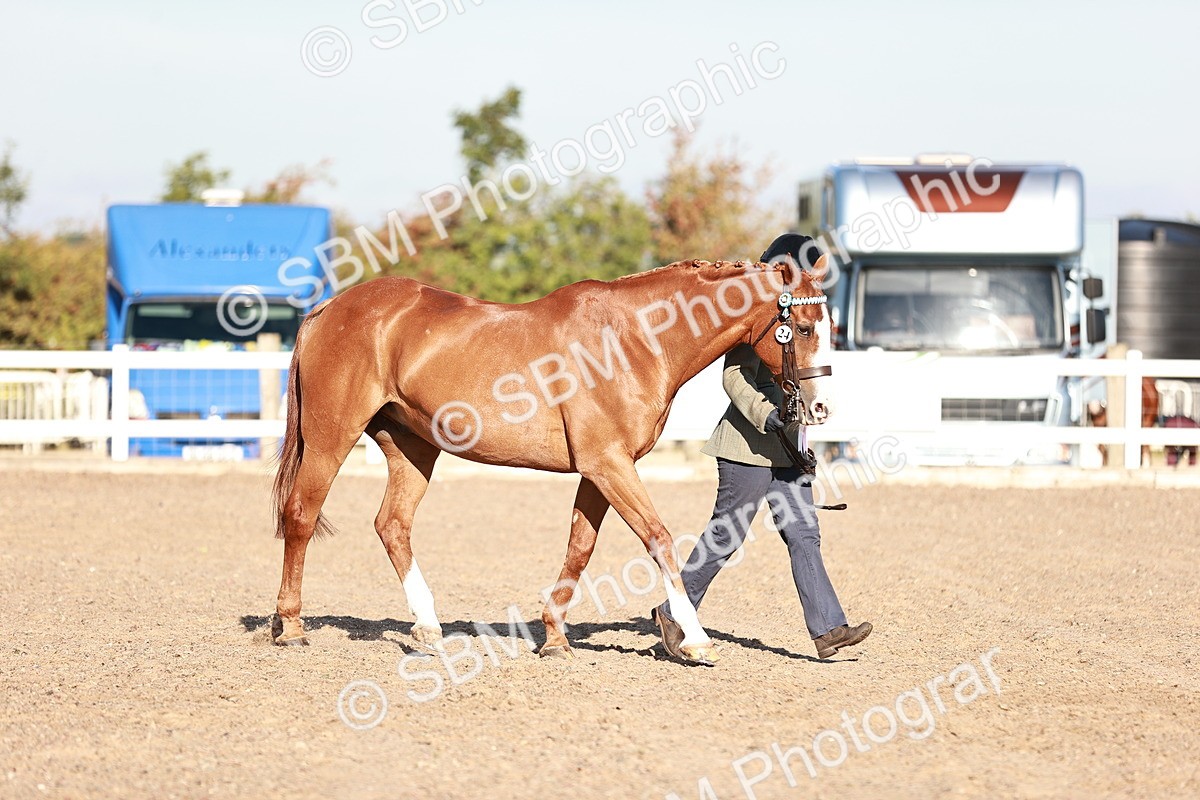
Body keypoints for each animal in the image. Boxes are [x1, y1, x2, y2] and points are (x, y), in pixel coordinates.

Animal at [270, 257, 834, 665]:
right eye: (804, 327)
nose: (820, 409)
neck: (633, 339)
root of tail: (329, 308)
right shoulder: (609, 464)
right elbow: (658, 538)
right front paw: (694, 641)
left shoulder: (599, 470)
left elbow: (580, 548)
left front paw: (555, 638)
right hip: (331, 437)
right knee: (301, 515)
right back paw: (291, 627)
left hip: (412, 447)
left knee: (392, 524)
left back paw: (428, 628)